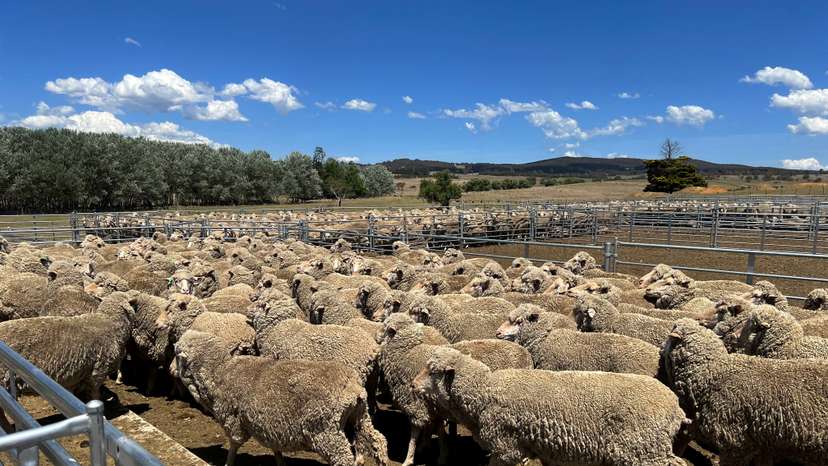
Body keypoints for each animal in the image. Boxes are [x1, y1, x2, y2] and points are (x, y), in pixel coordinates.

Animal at [174, 331, 388, 466]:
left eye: (176, 354)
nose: (171, 370)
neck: (219, 370)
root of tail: (353, 386)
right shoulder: (269, 426)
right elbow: (275, 449)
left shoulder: (233, 422)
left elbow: (233, 446)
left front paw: (228, 463)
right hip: (360, 416)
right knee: (379, 441)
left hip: (325, 430)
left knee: (343, 459)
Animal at [412, 346, 687, 466]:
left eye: (433, 371)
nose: (413, 385)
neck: (485, 391)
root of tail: (675, 407)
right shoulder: (543, 450)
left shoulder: (507, 447)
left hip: (642, 451)